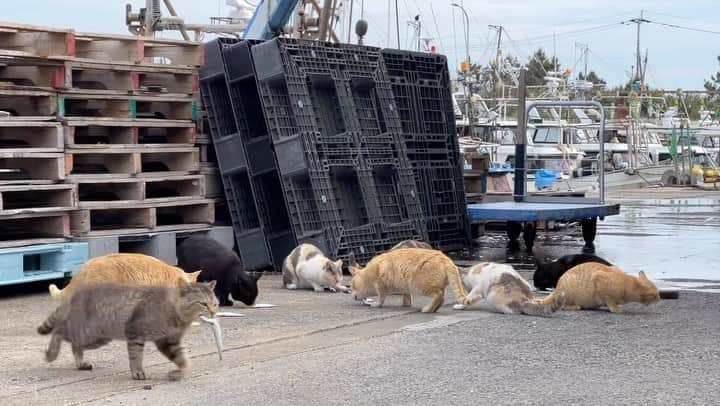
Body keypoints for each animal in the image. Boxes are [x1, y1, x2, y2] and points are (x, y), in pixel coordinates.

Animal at [37, 280, 217, 380]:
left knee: (75, 345)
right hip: (86, 332)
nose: (213, 312)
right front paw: (137, 373)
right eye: (203, 303)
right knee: (59, 331)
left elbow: (183, 360)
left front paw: (180, 373)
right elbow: (136, 357)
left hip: (97, 338)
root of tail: (76, 293)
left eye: (215, 303)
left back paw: (80, 363)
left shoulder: (168, 342)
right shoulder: (136, 334)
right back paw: (51, 354)